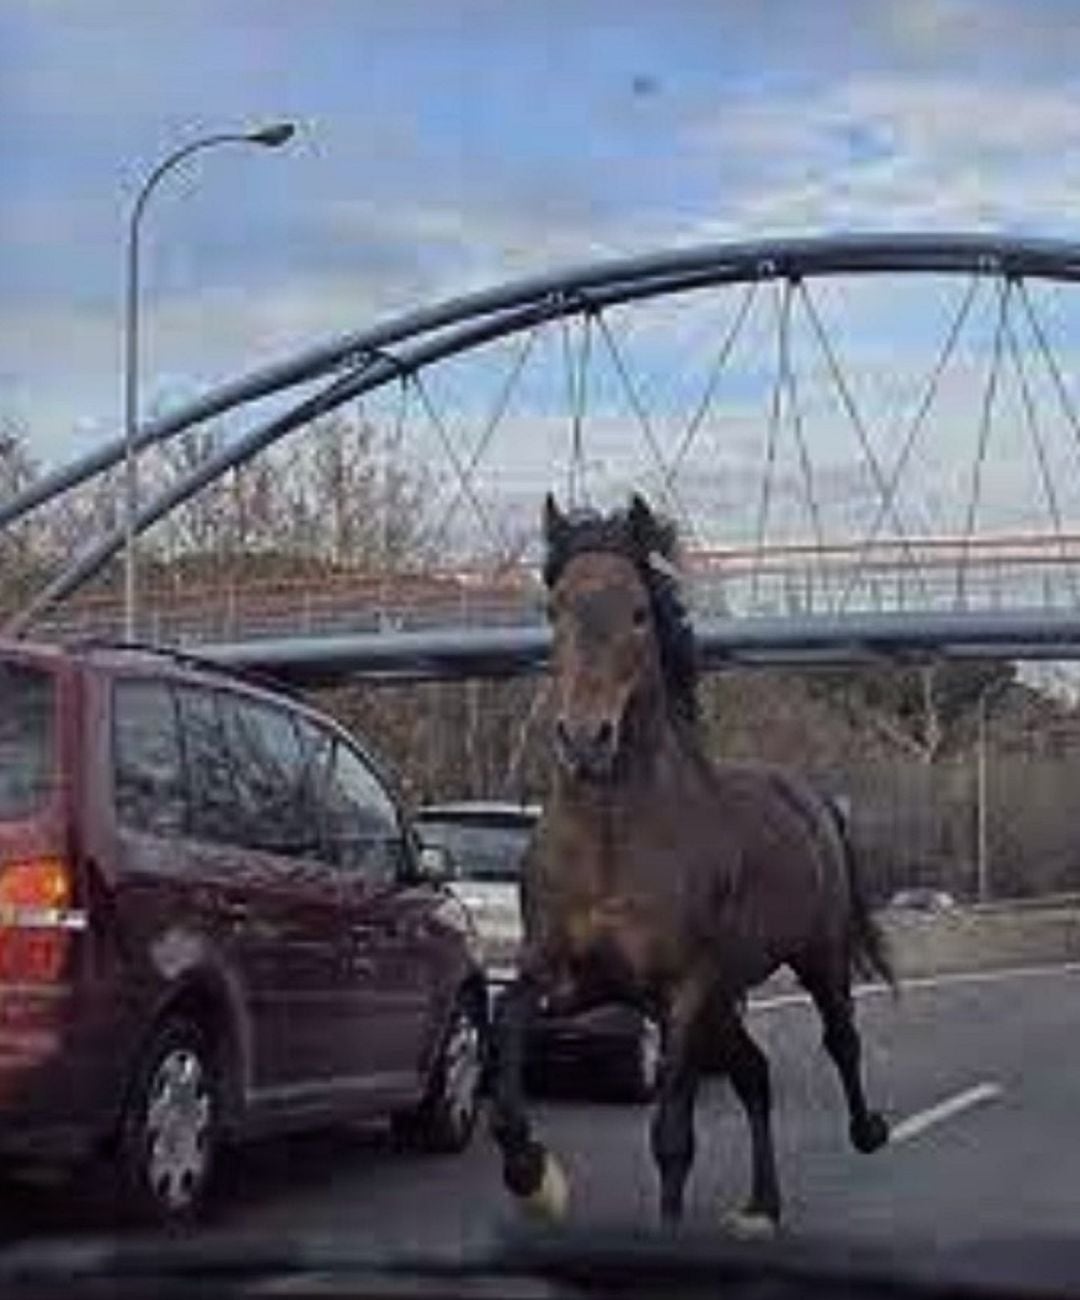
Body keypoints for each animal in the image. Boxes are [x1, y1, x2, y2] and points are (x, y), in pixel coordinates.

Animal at [491, 491, 894, 1232]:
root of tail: (810, 797)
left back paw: (868, 1131)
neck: (612, 842)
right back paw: (762, 1205)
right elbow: (506, 1023)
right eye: (553, 609)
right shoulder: (573, 976)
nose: (585, 740)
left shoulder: (683, 990)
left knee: (840, 1039)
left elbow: (672, 1134)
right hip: (725, 1000)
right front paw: (533, 1176)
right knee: (755, 1073)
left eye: (639, 612)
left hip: (811, 957)